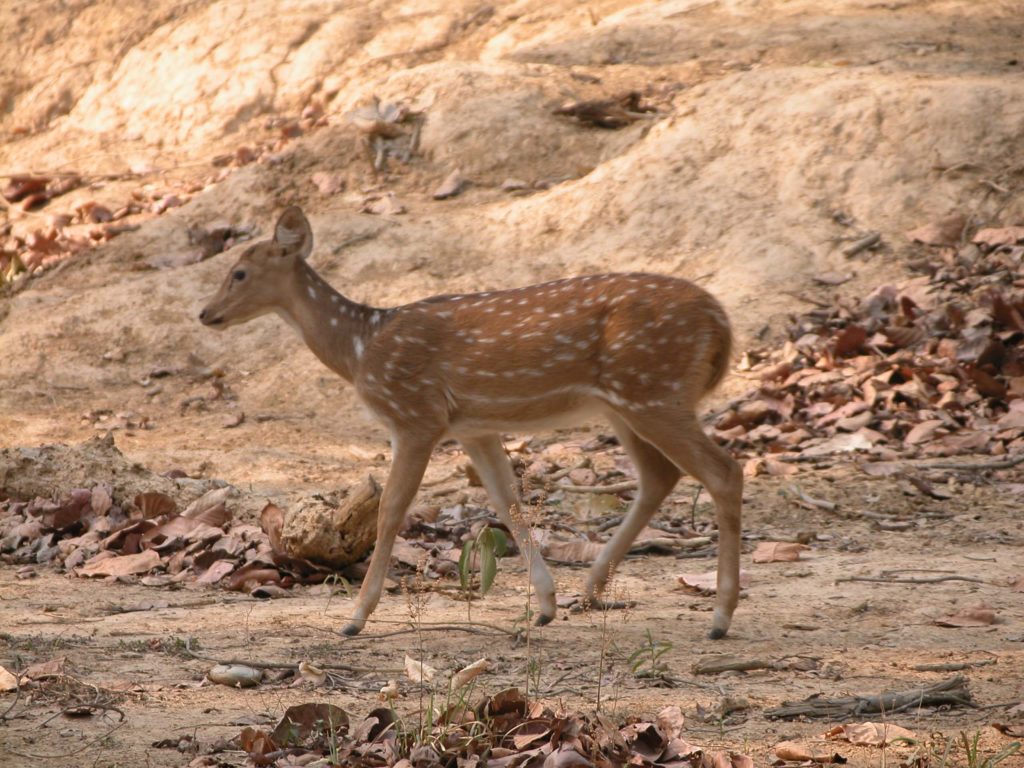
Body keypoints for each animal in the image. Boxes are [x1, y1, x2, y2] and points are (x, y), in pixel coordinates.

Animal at [199, 207, 745, 638]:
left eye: (239, 272)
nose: (206, 313)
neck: (359, 349)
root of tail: (720, 321)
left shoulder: (414, 414)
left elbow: (391, 509)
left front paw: (355, 617)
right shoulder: (473, 427)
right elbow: (508, 502)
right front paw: (545, 605)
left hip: (651, 390)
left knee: (723, 471)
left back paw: (719, 617)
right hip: (628, 400)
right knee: (660, 475)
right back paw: (589, 589)